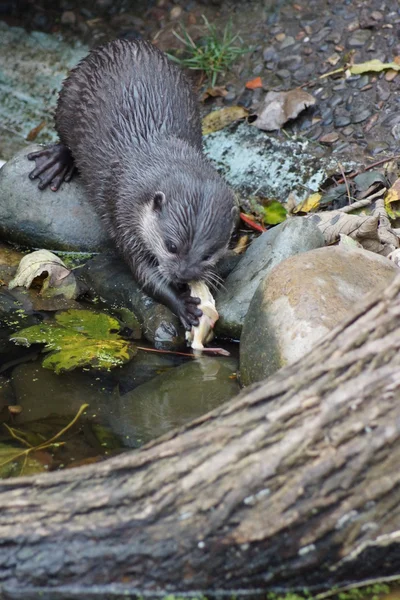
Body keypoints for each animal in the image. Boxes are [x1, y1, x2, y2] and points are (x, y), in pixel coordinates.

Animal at [28, 38, 238, 328]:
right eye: (171, 246)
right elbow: (142, 271)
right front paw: (182, 304)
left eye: (208, 254)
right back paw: (56, 161)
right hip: (69, 95)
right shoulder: (123, 211)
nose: (183, 275)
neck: (156, 153)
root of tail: (125, 42)